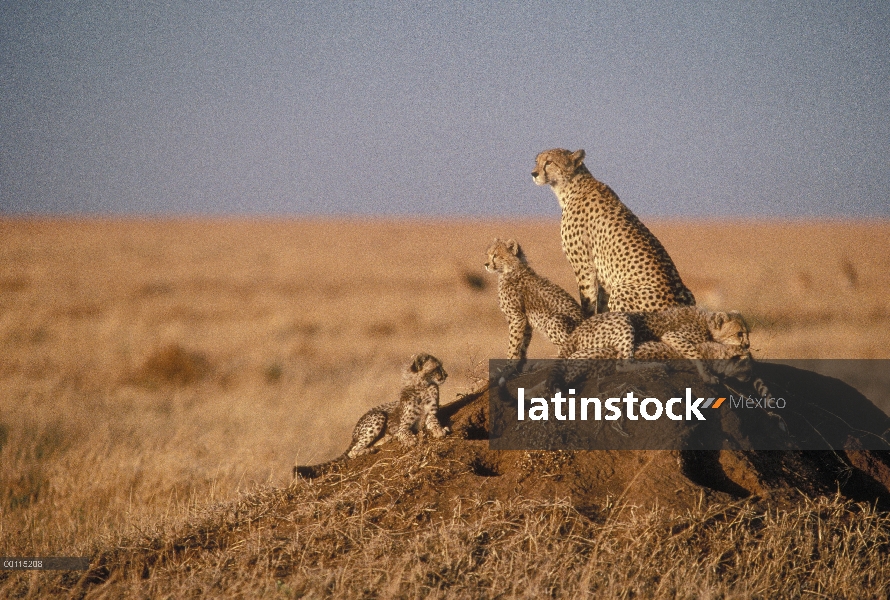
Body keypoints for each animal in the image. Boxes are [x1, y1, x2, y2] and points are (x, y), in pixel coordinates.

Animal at [294, 354, 450, 480]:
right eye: (437, 367)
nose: (446, 375)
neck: (423, 385)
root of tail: (353, 433)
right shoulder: (402, 427)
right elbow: (404, 432)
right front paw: (411, 440)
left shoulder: (430, 415)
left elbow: (434, 422)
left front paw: (440, 430)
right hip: (378, 416)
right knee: (353, 451)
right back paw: (369, 449)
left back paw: (384, 440)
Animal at [532, 149, 696, 318]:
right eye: (537, 161)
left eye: (549, 162)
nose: (534, 173)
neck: (571, 186)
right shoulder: (603, 277)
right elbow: (601, 305)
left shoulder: (584, 266)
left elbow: (588, 302)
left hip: (621, 290)